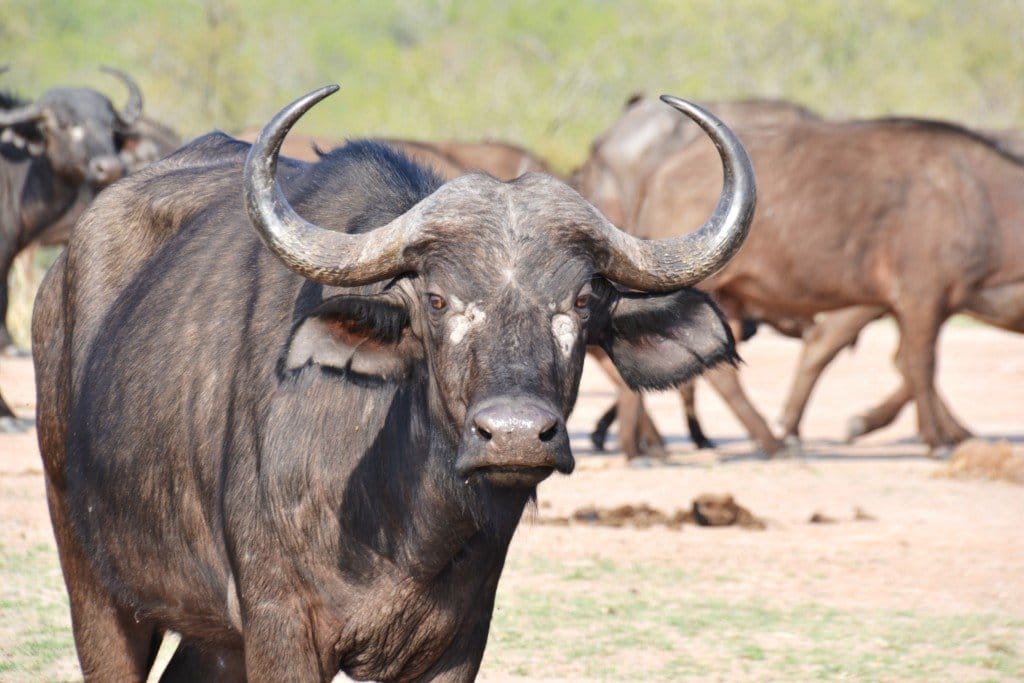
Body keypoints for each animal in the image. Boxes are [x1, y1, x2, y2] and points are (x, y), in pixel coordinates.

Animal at [34, 88, 753, 679]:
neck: (404, 521)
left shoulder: (458, 641)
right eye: (437, 300)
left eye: (579, 302)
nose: (516, 435)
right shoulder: (281, 627)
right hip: (95, 585)